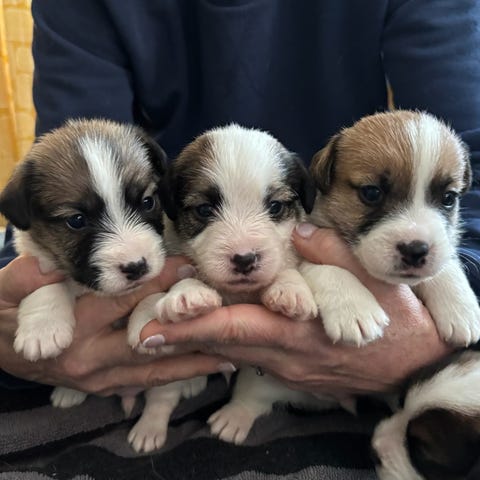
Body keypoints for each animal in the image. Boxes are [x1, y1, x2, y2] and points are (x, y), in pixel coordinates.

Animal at [0, 118, 168, 408]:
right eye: (77, 220)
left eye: (148, 202)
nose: (136, 266)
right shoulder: (35, 256)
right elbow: (44, 282)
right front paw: (43, 328)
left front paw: (148, 316)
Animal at [126, 124, 338, 453]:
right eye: (204, 210)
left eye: (275, 206)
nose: (244, 259)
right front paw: (188, 295)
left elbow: (287, 270)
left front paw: (290, 290)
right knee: (163, 395)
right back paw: (150, 426)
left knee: (254, 394)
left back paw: (234, 417)